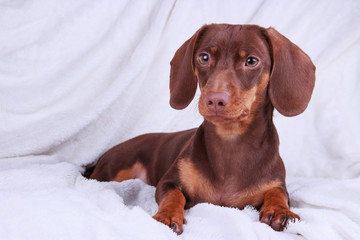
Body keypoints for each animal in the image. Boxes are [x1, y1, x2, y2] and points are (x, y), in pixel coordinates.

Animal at [88, 23, 316, 233]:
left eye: (251, 61)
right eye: (204, 58)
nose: (215, 99)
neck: (230, 143)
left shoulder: (277, 184)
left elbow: (278, 193)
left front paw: (279, 210)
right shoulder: (167, 182)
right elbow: (173, 195)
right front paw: (167, 215)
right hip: (113, 171)